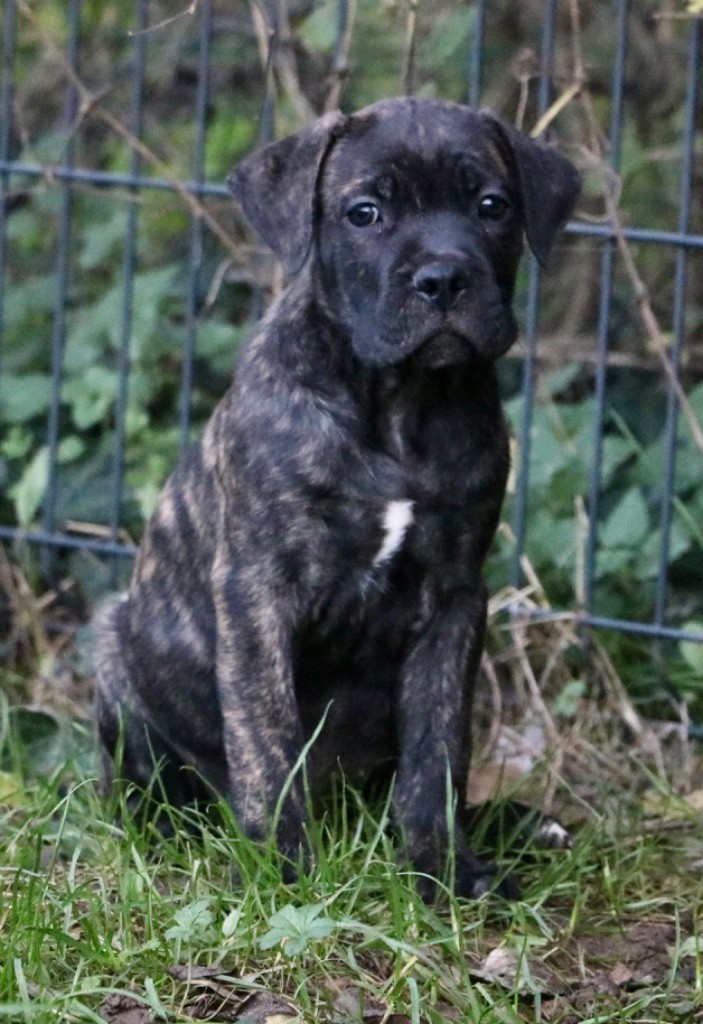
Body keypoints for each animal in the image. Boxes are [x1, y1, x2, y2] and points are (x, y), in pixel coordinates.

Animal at [99, 96, 581, 897]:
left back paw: (515, 825)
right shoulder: (256, 593)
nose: (443, 279)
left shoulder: (454, 600)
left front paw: (446, 872)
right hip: (113, 642)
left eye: (492, 206)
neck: (399, 407)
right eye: (365, 213)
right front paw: (286, 878)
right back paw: (167, 830)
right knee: (146, 785)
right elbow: (268, 746)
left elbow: (436, 753)